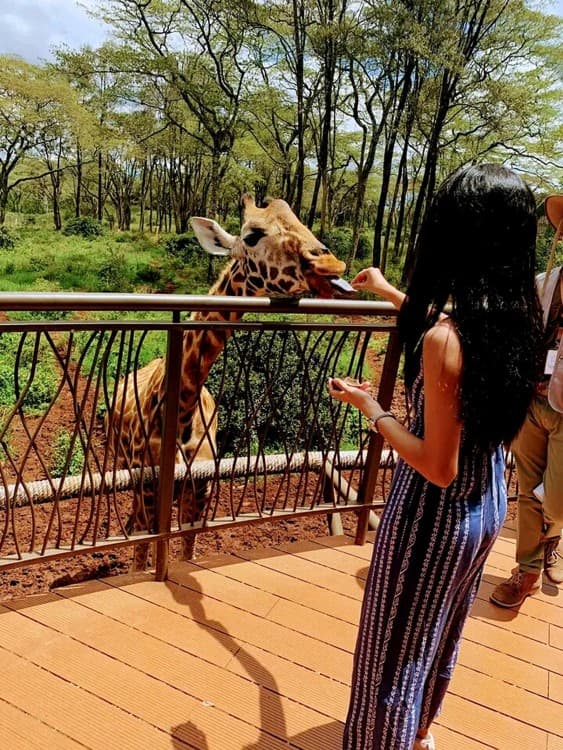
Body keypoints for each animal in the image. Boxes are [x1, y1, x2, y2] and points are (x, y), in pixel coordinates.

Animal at [106, 194, 354, 570]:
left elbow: (187, 549)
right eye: (251, 236)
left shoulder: (200, 491)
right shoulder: (149, 489)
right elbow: (142, 552)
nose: (330, 262)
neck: (183, 410)